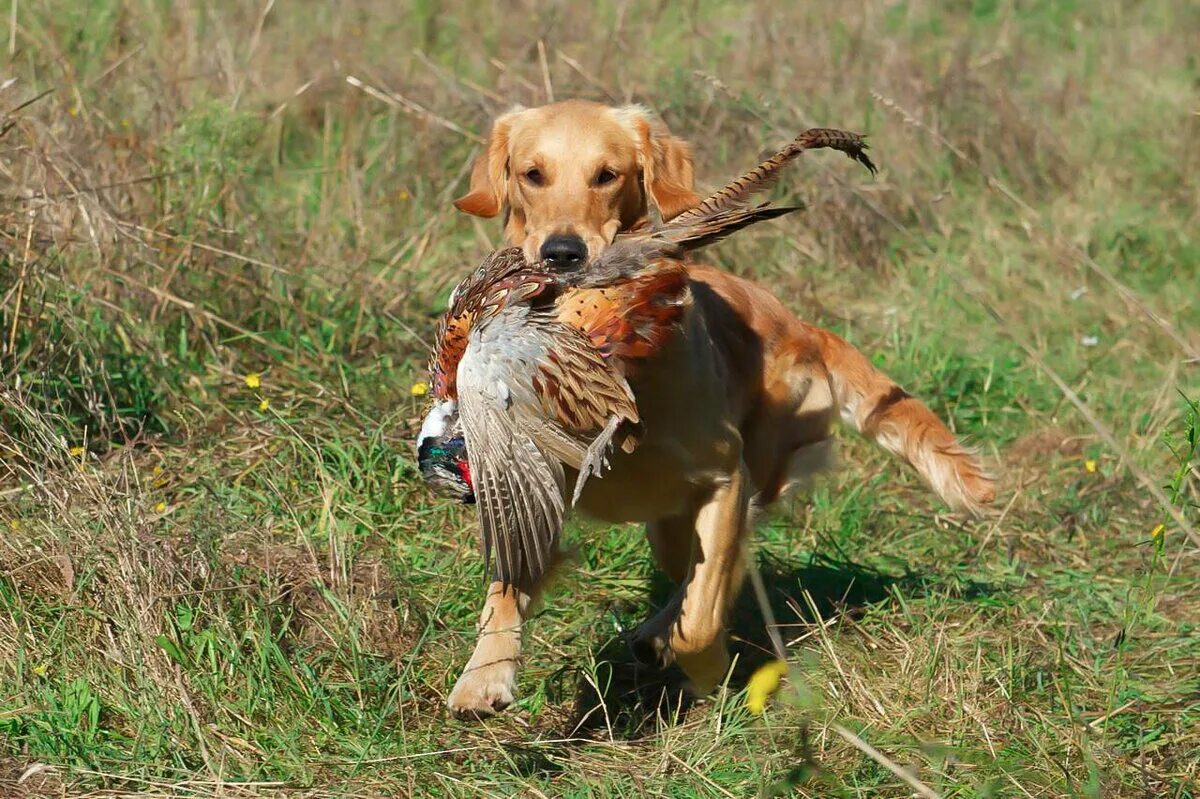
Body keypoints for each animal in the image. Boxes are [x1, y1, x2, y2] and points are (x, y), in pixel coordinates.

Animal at [446, 99, 998, 715]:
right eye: (532, 174)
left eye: (607, 175)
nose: (562, 255)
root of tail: (801, 327)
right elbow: (508, 577)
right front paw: (485, 674)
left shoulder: (725, 477)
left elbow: (703, 617)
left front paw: (706, 667)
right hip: (668, 523)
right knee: (701, 567)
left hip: (752, 473)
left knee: (723, 571)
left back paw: (664, 637)